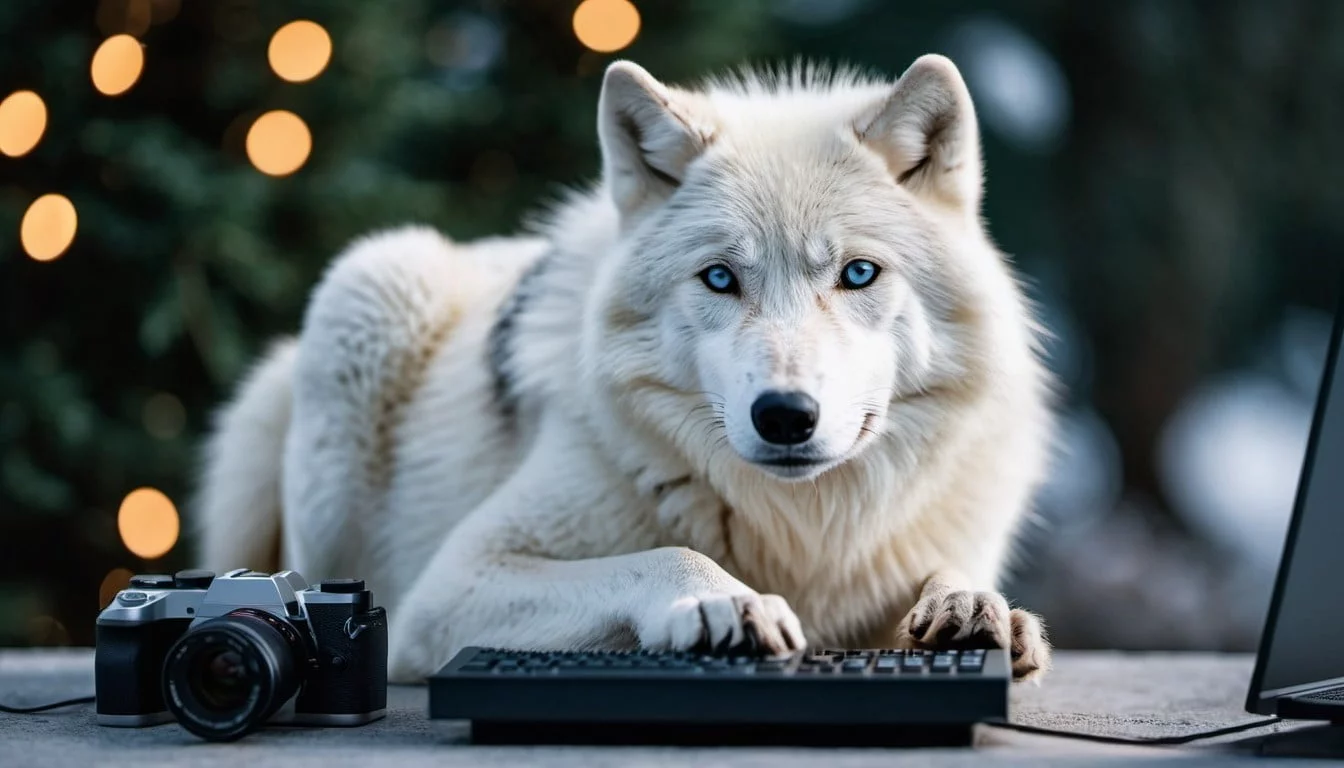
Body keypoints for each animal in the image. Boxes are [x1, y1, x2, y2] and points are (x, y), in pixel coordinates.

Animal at [195, 55, 1056, 683]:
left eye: (858, 274)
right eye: (720, 278)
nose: (785, 415)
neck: (799, 531)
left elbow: (943, 577)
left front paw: (973, 606)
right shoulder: (446, 592)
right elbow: (667, 555)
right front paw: (726, 604)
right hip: (369, 286)